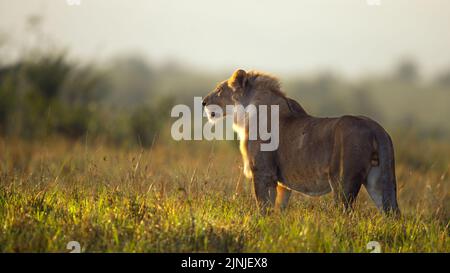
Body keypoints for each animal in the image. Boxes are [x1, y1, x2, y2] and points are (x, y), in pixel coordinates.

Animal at [202, 69, 400, 214]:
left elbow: (263, 208)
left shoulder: (263, 173)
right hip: (380, 180)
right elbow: (279, 209)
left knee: (345, 214)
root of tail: (376, 128)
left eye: (219, 90)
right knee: (392, 213)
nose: (203, 102)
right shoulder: (281, 183)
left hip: (344, 182)